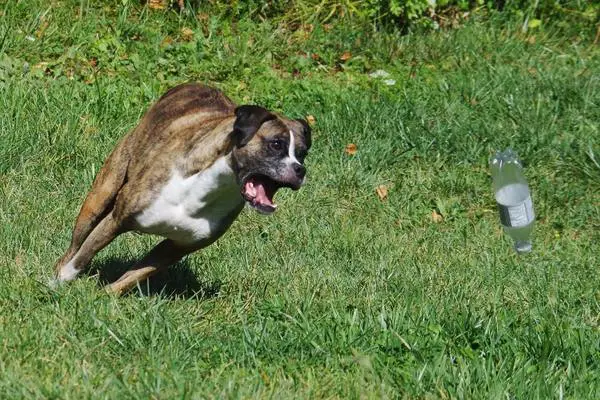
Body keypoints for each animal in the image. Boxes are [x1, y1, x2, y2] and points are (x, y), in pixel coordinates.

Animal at [53, 83, 312, 294]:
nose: (300, 169)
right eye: (276, 144)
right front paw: (62, 281)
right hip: (100, 195)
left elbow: (133, 276)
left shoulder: (174, 249)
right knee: (76, 244)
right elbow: (85, 254)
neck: (209, 188)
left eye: (302, 153)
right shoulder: (117, 220)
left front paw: (105, 297)